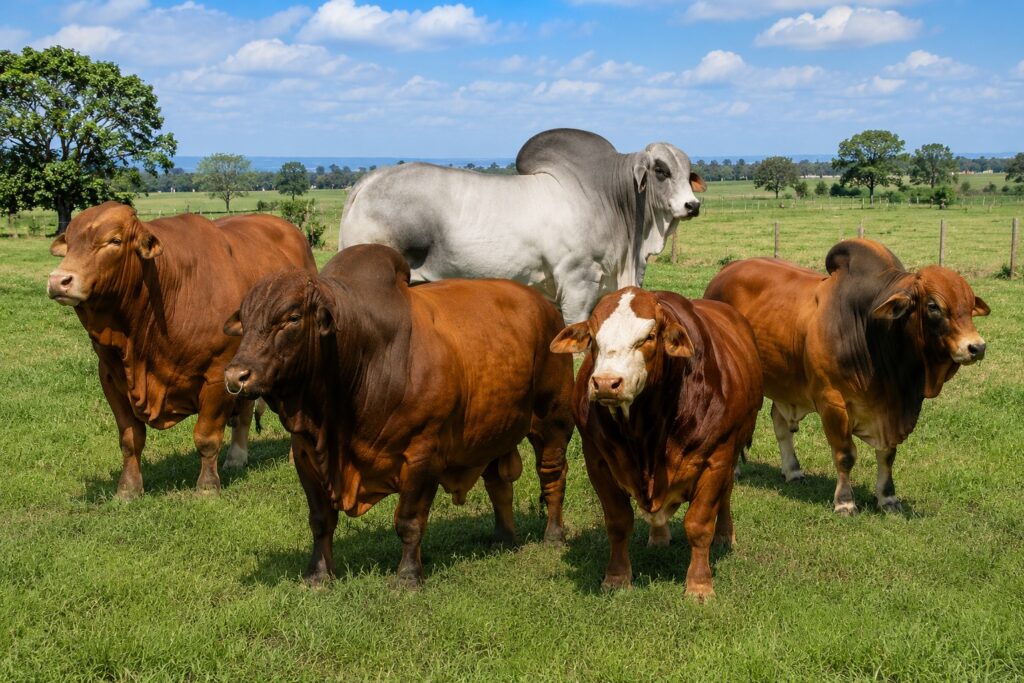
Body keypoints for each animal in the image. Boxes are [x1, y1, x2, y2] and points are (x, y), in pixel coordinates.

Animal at [47, 202, 316, 499]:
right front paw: (128, 489)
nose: (58, 280)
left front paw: (207, 487)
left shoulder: (217, 375)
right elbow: (130, 438)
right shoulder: (110, 376)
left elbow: (206, 436)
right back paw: (236, 457)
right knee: (244, 412)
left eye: (114, 241)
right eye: (70, 243)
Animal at [222, 244, 574, 587]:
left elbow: (409, 521)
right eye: (245, 319)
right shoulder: (305, 454)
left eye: (292, 318)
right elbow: (321, 520)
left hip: (553, 423)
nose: (237, 375)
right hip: (492, 430)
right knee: (498, 484)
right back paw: (503, 538)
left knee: (552, 475)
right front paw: (319, 574)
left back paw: (554, 535)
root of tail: (548, 308)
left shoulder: (423, 456)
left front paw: (408, 575)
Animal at [550, 286, 763, 599]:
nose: (606, 383)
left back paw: (725, 533)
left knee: (726, 493)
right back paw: (659, 536)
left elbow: (699, 524)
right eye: (593, 336)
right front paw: (617, 577)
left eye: (649, 337)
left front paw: (699, 584)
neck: (645, 432)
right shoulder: (596, 459)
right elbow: (618, 522)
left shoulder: (717, 457)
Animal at [704, 238, 990, 515]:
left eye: (969, 306)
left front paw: (888, 498)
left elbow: (887, 456)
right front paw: (845, 502)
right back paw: (735, 470)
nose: (976, 347)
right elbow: (845, 455)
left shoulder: (887, 415)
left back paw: (793, 470)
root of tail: (722, 275)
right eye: (933, 306)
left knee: (780, 422)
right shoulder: (833, 402)